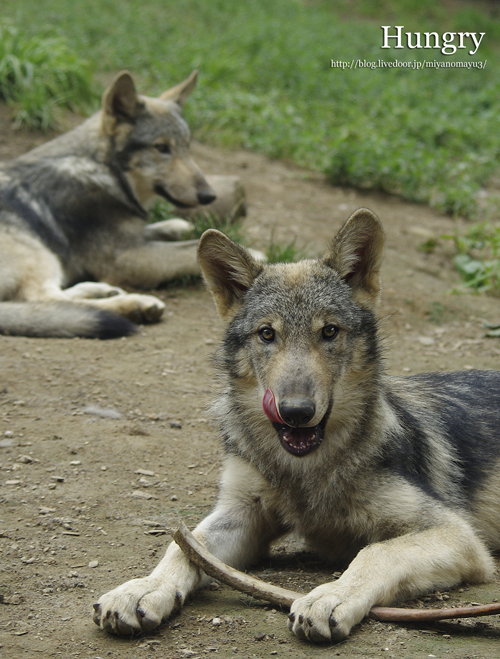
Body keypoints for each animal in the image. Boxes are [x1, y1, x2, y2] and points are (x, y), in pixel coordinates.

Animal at [0, 71, 216, 340]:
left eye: (187, 147)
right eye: (162, 148)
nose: (209, 196)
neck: (105, 169)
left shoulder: (130, 237)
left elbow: (162, 229)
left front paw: (179, 226)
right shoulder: (125, 257)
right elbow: (186, 251)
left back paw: (101, 290)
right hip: (39, 253)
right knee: (42, 300)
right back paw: (135, 305)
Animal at [94, 210, 500, 644]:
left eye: (329, 331)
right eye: (267, 334)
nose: (296, 412)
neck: (304, 473)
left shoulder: (456, 535)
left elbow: (375, 551)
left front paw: (332, 597)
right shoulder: (242, 513)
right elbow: (186, 546)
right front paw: (143, 588)